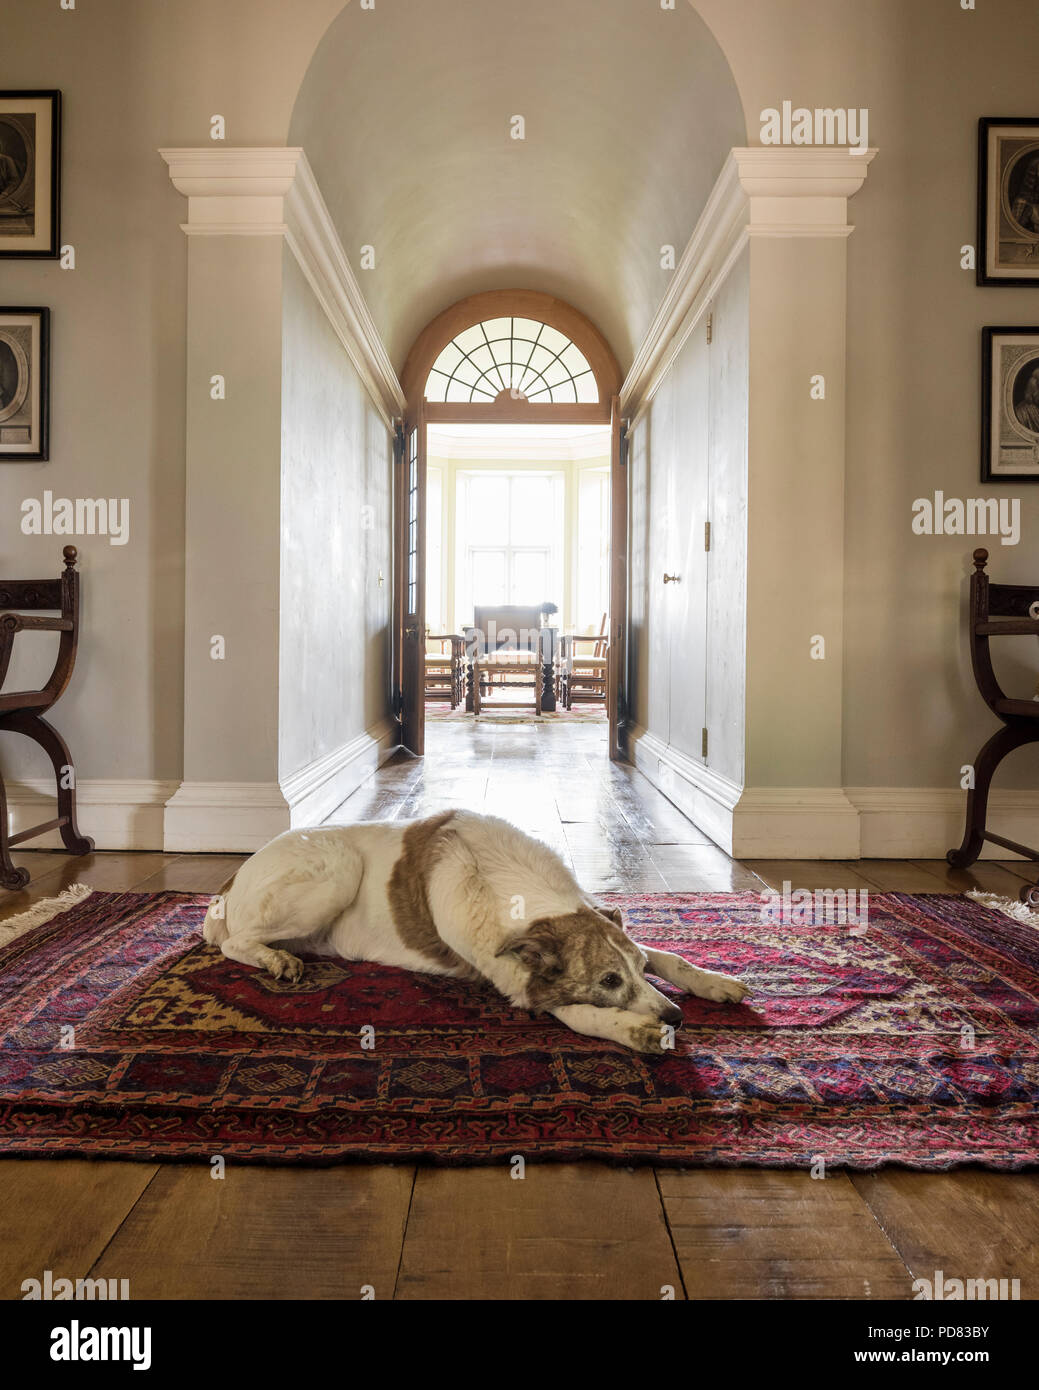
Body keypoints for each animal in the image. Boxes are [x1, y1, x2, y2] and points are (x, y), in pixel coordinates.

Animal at [203, 811, 751, 1045]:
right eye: (608, 981)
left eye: (633, 969)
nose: (676, 1017)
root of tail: (230, 881)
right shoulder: (516, 979)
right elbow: (573, 1010)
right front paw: (632, 1029)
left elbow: (667, 955)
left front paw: (711, 981)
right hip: (337, 869)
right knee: (235, 943)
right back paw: (276, 960)